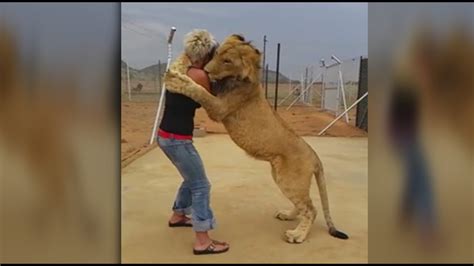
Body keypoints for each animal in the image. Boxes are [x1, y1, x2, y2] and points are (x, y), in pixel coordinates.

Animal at [164, 33, 348, 243]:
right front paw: (184, 57)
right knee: (303, 205)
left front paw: (176, 80)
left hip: (290, 180)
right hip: (282, 178)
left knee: (311, 209)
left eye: (227, 61)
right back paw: (287, 215)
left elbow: (198, 90)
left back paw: (297, 235)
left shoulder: (219, 108)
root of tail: (315, 156)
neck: (232, 79)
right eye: (217, 54)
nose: (207, 70)